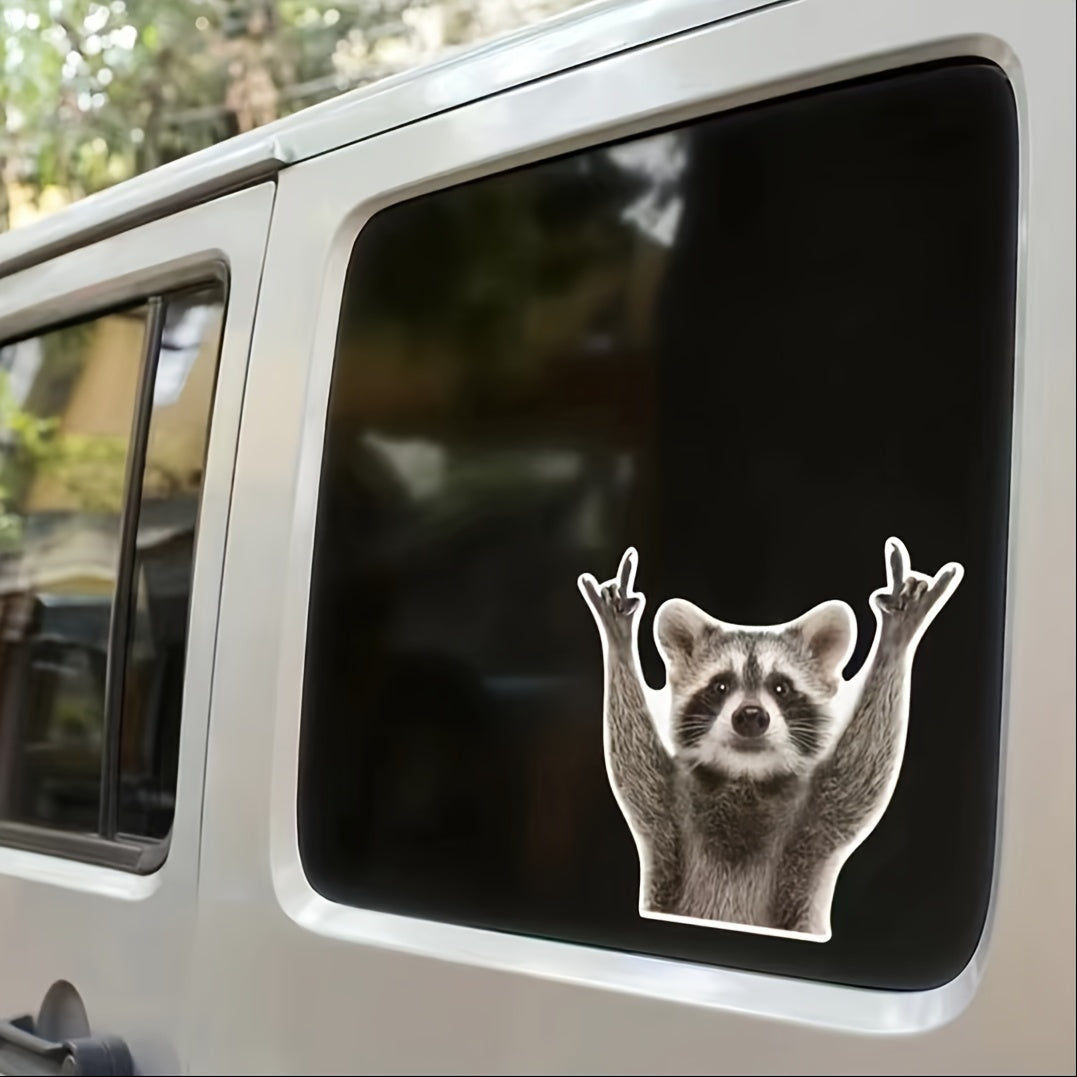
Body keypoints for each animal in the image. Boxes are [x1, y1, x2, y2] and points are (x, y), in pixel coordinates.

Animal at [578, 538, 962, 938]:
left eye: (781, 687)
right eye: (720, 686)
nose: (750, 717)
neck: (746, 778)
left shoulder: (817, 824)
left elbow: (863, 769)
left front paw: (895, 642)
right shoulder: (668, 817)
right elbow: (632, 765)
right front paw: (619, 642)